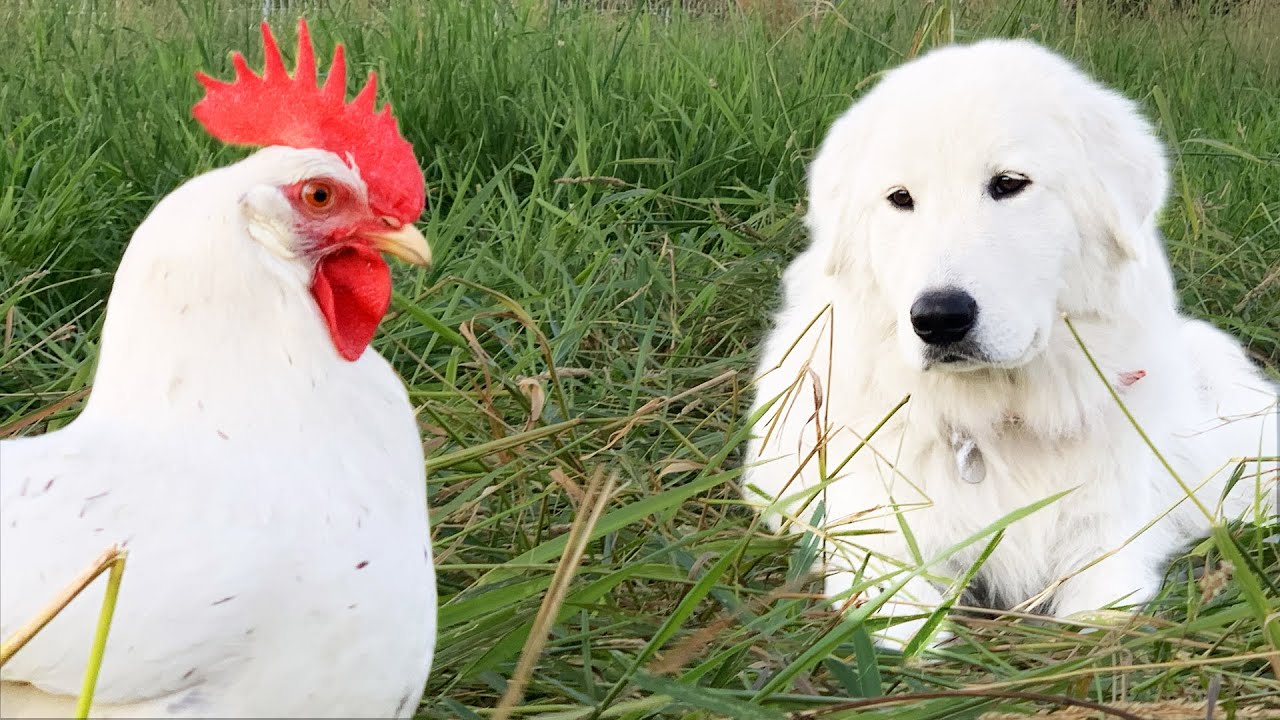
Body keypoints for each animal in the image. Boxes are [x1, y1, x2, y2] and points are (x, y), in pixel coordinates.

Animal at [747, 37, 1274, 650]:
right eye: (900, 198)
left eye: (1008, 183)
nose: (939, 319)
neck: (1000, 422)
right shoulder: (881, 540)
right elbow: (904, 631)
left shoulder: (1110, 546)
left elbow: (1099, 623)